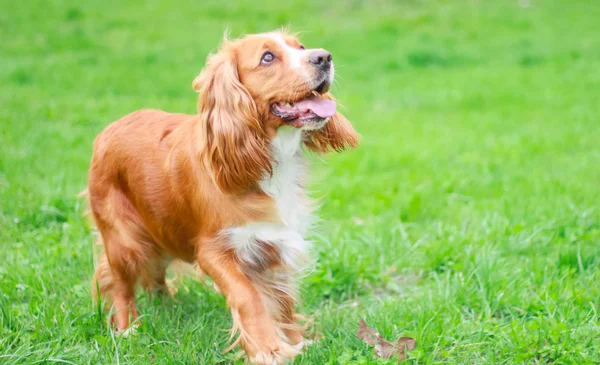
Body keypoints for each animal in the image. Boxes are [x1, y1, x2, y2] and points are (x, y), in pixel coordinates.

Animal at [87, 31, 358, 364]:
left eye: (301, 47)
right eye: (268, 57)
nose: (324, 57)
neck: (265, 158)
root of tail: (108, 130)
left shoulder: (274, 243)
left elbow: (283, 300)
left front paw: (296, 340)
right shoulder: (215, 251)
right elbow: (249, 297)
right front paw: (269, 349)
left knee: (155, 276)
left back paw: (168, 307)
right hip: (124, 240)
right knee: (121, 285)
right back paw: (129, 330)